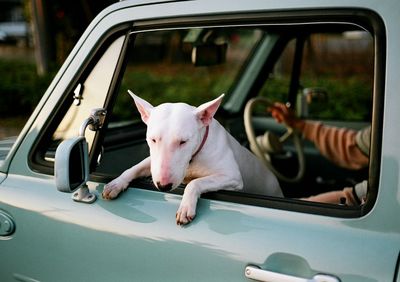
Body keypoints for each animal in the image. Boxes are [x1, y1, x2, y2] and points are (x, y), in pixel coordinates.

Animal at [103, 91, 284, 226]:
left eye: (183, 141)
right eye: (153, 140)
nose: (163, 186)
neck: (193, 158)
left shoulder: (232, 177)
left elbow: (195, 183)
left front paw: (185, 208)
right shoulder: (153, 161)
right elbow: (135, 167)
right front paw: (115, 184)